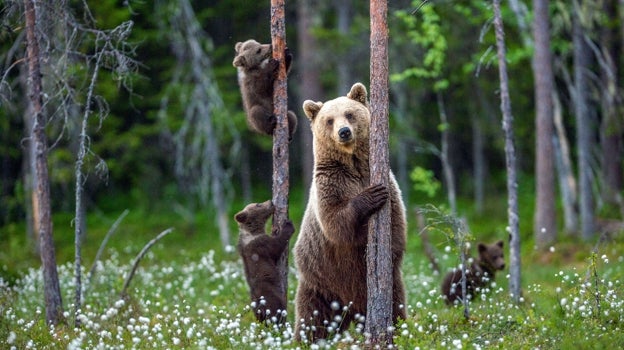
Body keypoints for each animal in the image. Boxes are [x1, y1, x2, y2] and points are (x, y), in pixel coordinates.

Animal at [294, 82, 410, 342]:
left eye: (349, 114)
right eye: (329, 120)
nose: (344, 132)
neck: (353, 165)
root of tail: (350, 310)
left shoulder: (387, 183)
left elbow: (396, 225)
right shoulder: (330, 184)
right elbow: (336, 223)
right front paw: (371, 196)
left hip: (389, 286)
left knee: (396, 304)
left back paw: (398, 329)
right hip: (320, 282)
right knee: (312, 317)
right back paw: (304, 340)